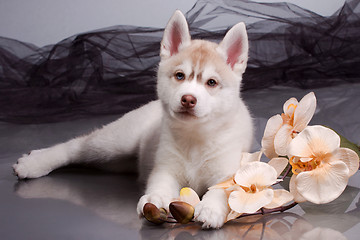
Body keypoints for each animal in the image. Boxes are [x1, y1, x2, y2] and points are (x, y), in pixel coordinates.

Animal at [13, 10, 253, 229]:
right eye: (180, 76)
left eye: (211, 82)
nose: (188, 99)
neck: (195, 137)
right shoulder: (165, 167)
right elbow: (160, 183)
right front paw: (155, 197)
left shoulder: (229, 170)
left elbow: (225, 190)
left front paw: (211, 207)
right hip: (117, 142)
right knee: (76, 147)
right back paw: (34, 163)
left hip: (117, 161)